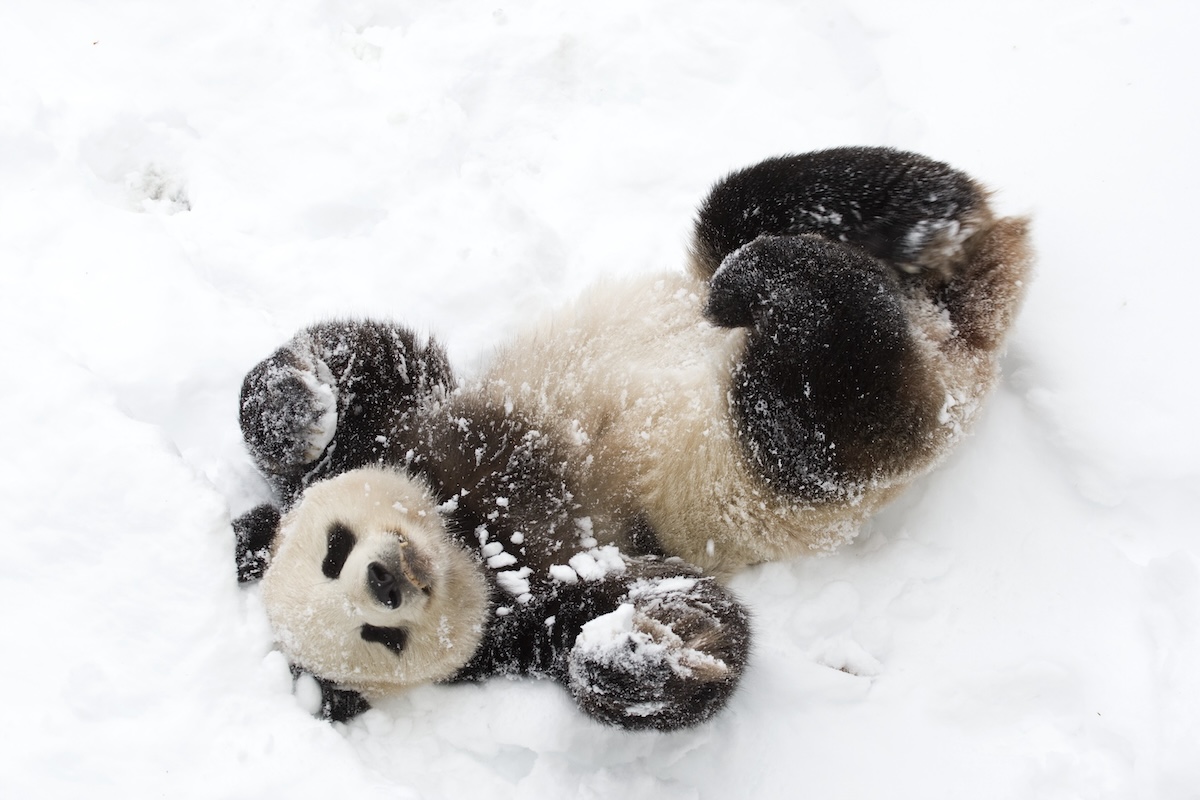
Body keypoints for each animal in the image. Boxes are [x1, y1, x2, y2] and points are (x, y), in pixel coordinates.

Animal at [232, 146, 1030, 729]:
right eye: (380, 637)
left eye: (334, 550)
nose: (386, 581)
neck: (469, 531)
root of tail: (956, 330)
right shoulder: (534, 604)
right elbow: (682, 614)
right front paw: (640, 652)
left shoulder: (411, 430)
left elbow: (371, 358)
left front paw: (296, 409)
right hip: (798, 453)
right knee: (827, 392)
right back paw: (809, 279)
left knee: (753, 204)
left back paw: (907, 225)